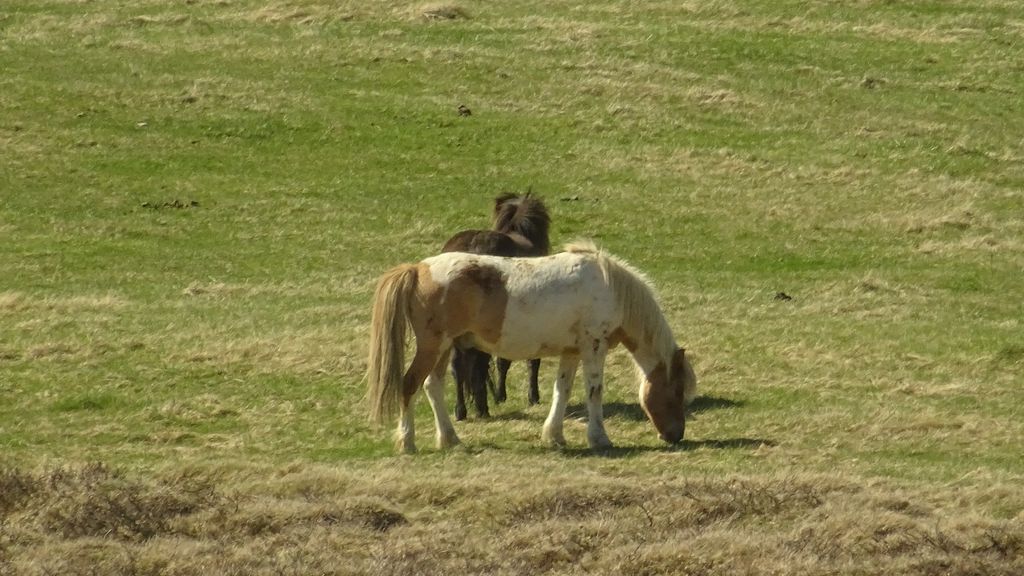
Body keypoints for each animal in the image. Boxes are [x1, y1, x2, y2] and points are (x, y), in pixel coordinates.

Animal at [366, 239, 696, 450]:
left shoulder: (572, 352)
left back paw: (450, 439)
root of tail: (417, 269)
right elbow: (594, 393)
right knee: (409, 384)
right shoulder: (594, 348)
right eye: (676, 391)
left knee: (432, 386)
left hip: (446, 347)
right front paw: (599, 438)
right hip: (434, 346)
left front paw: (555, 436)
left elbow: (562, 391)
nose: (676, 435)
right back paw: (408, 442)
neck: (608, 288)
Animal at [440, 190, 552, 420]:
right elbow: (524, 360)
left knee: (459, 367)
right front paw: (530, 396)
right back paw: (482, 408)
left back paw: (462, 410)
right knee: (479, 365)